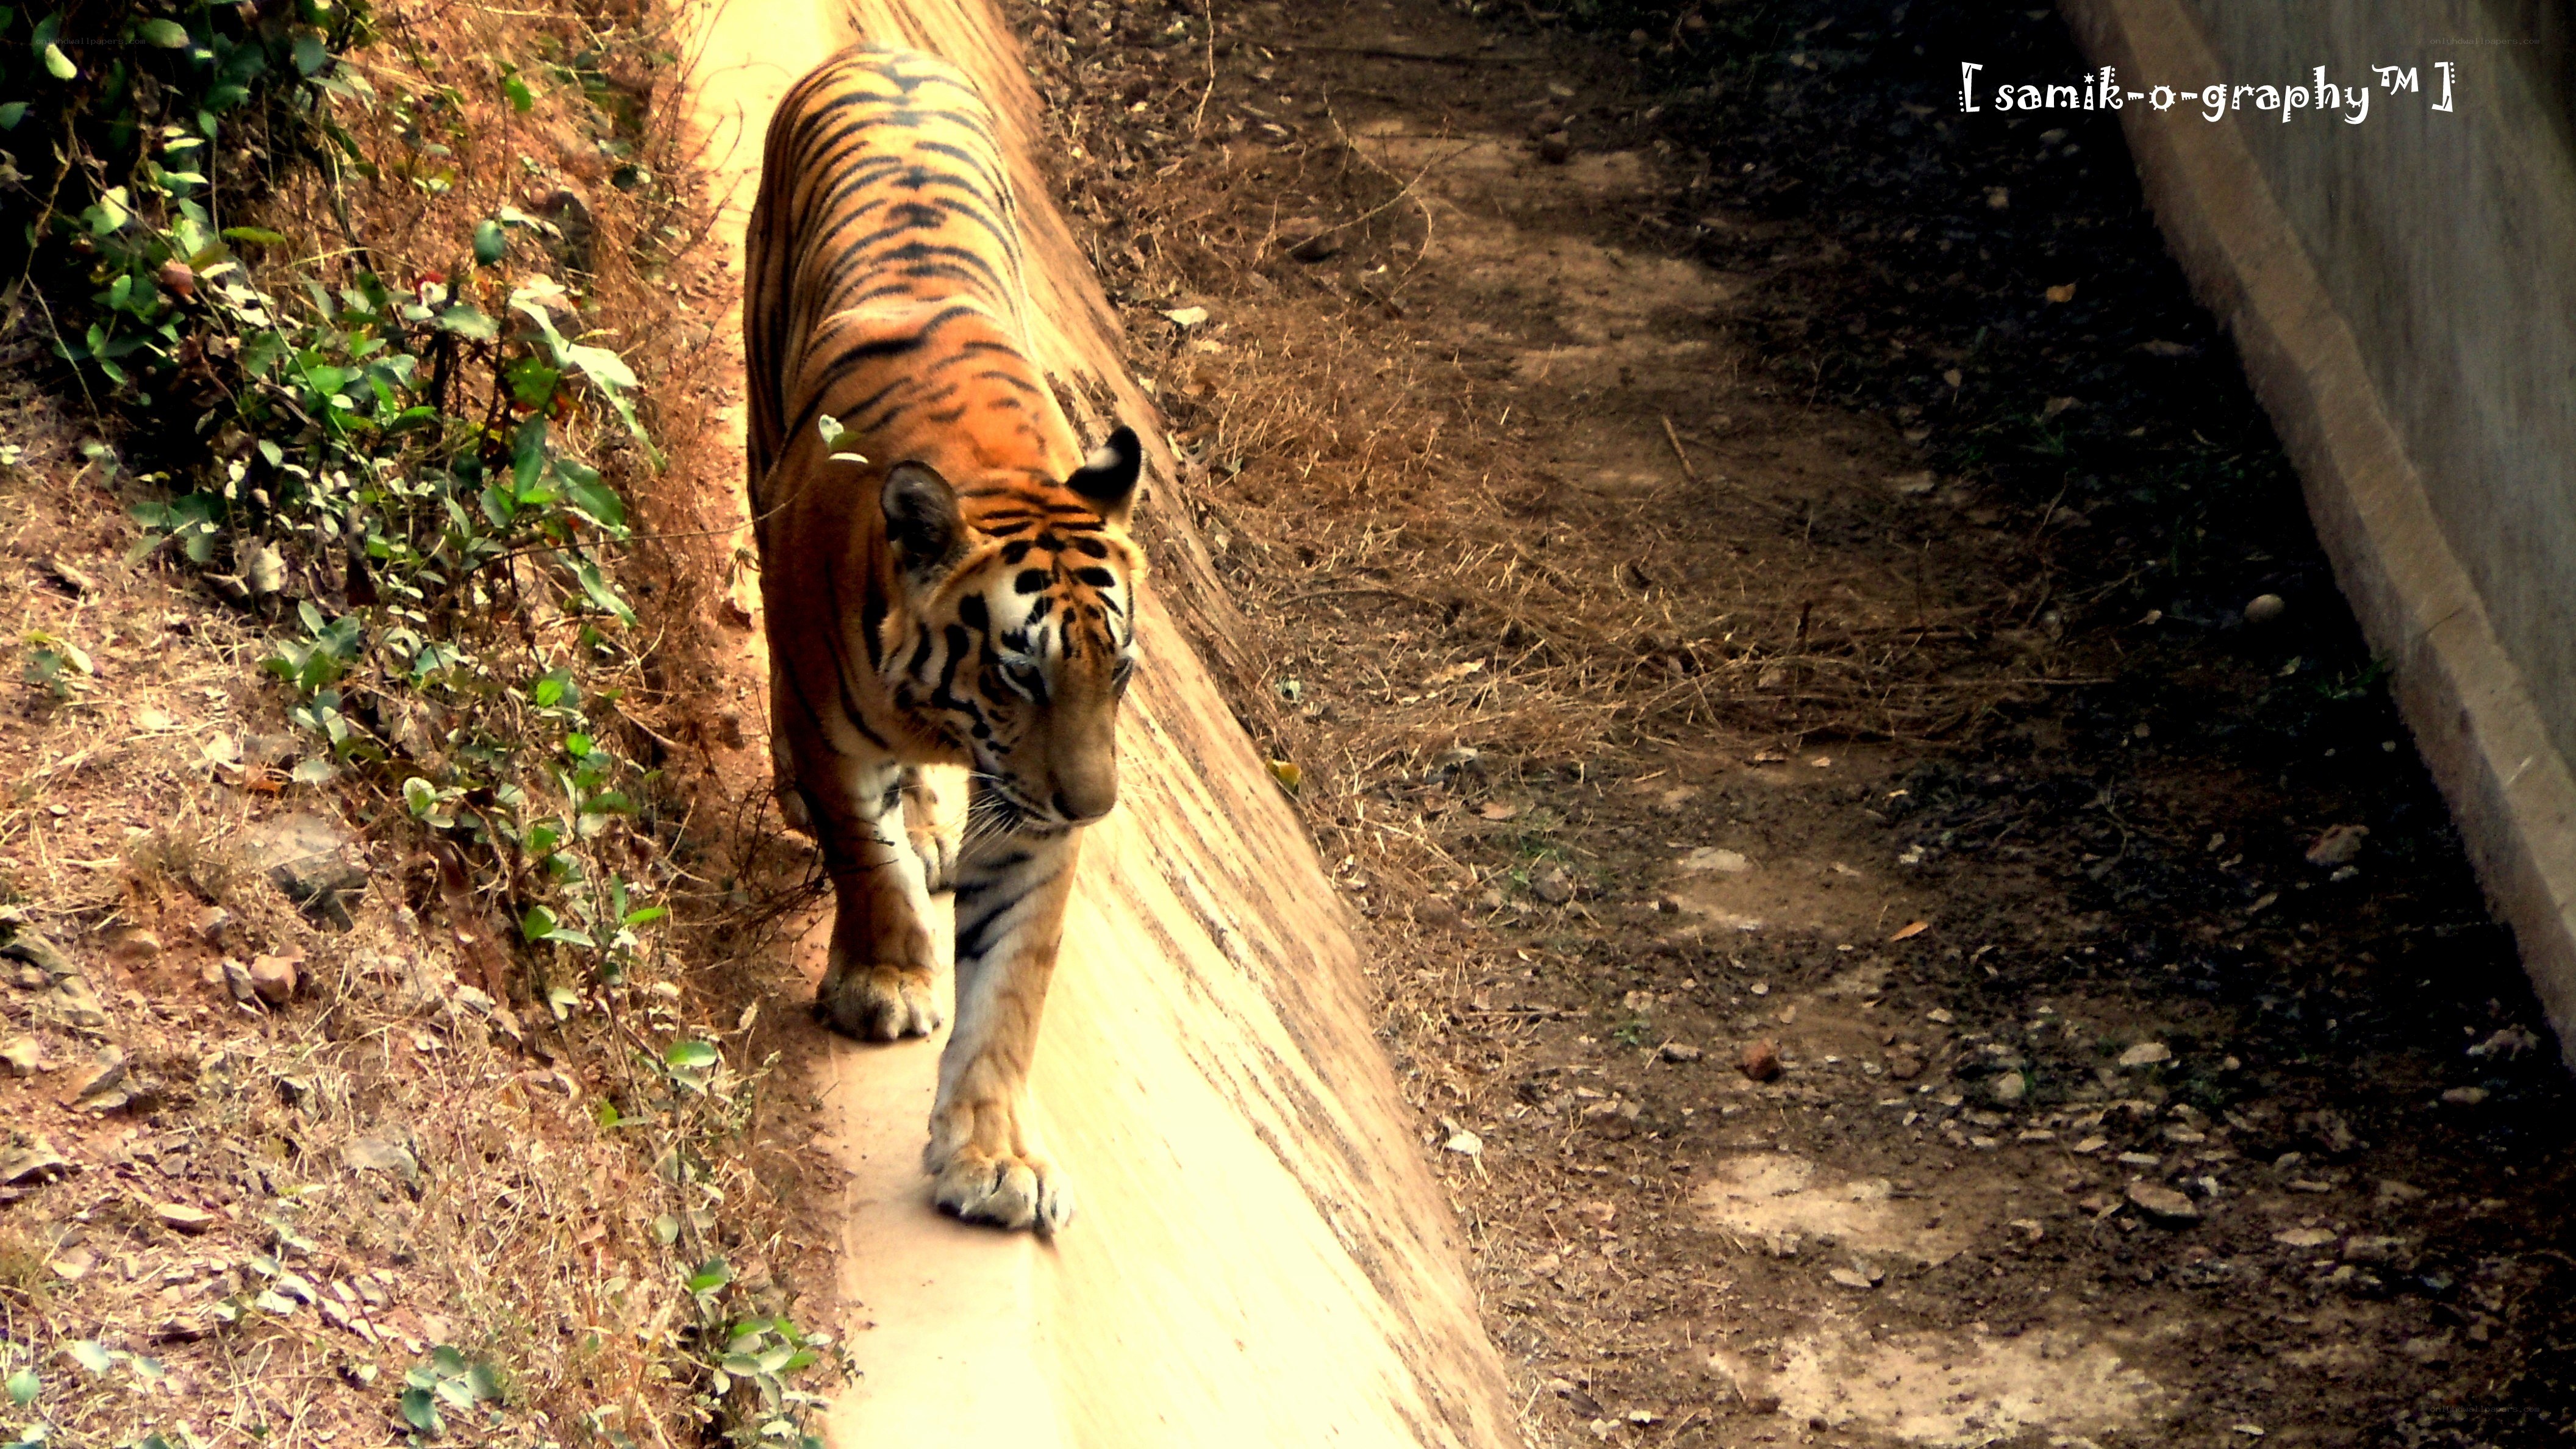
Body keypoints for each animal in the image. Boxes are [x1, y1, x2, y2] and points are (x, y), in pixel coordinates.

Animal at [742, 42, 1146, 1235]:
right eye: (1021, 676)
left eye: (1117, 676)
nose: (1094, 807)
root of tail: (883, 48)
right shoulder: (834, 727)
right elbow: (863, 859)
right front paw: (883, 984)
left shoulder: (1029, 814)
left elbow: (1011, 985)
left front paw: (991, 1156)